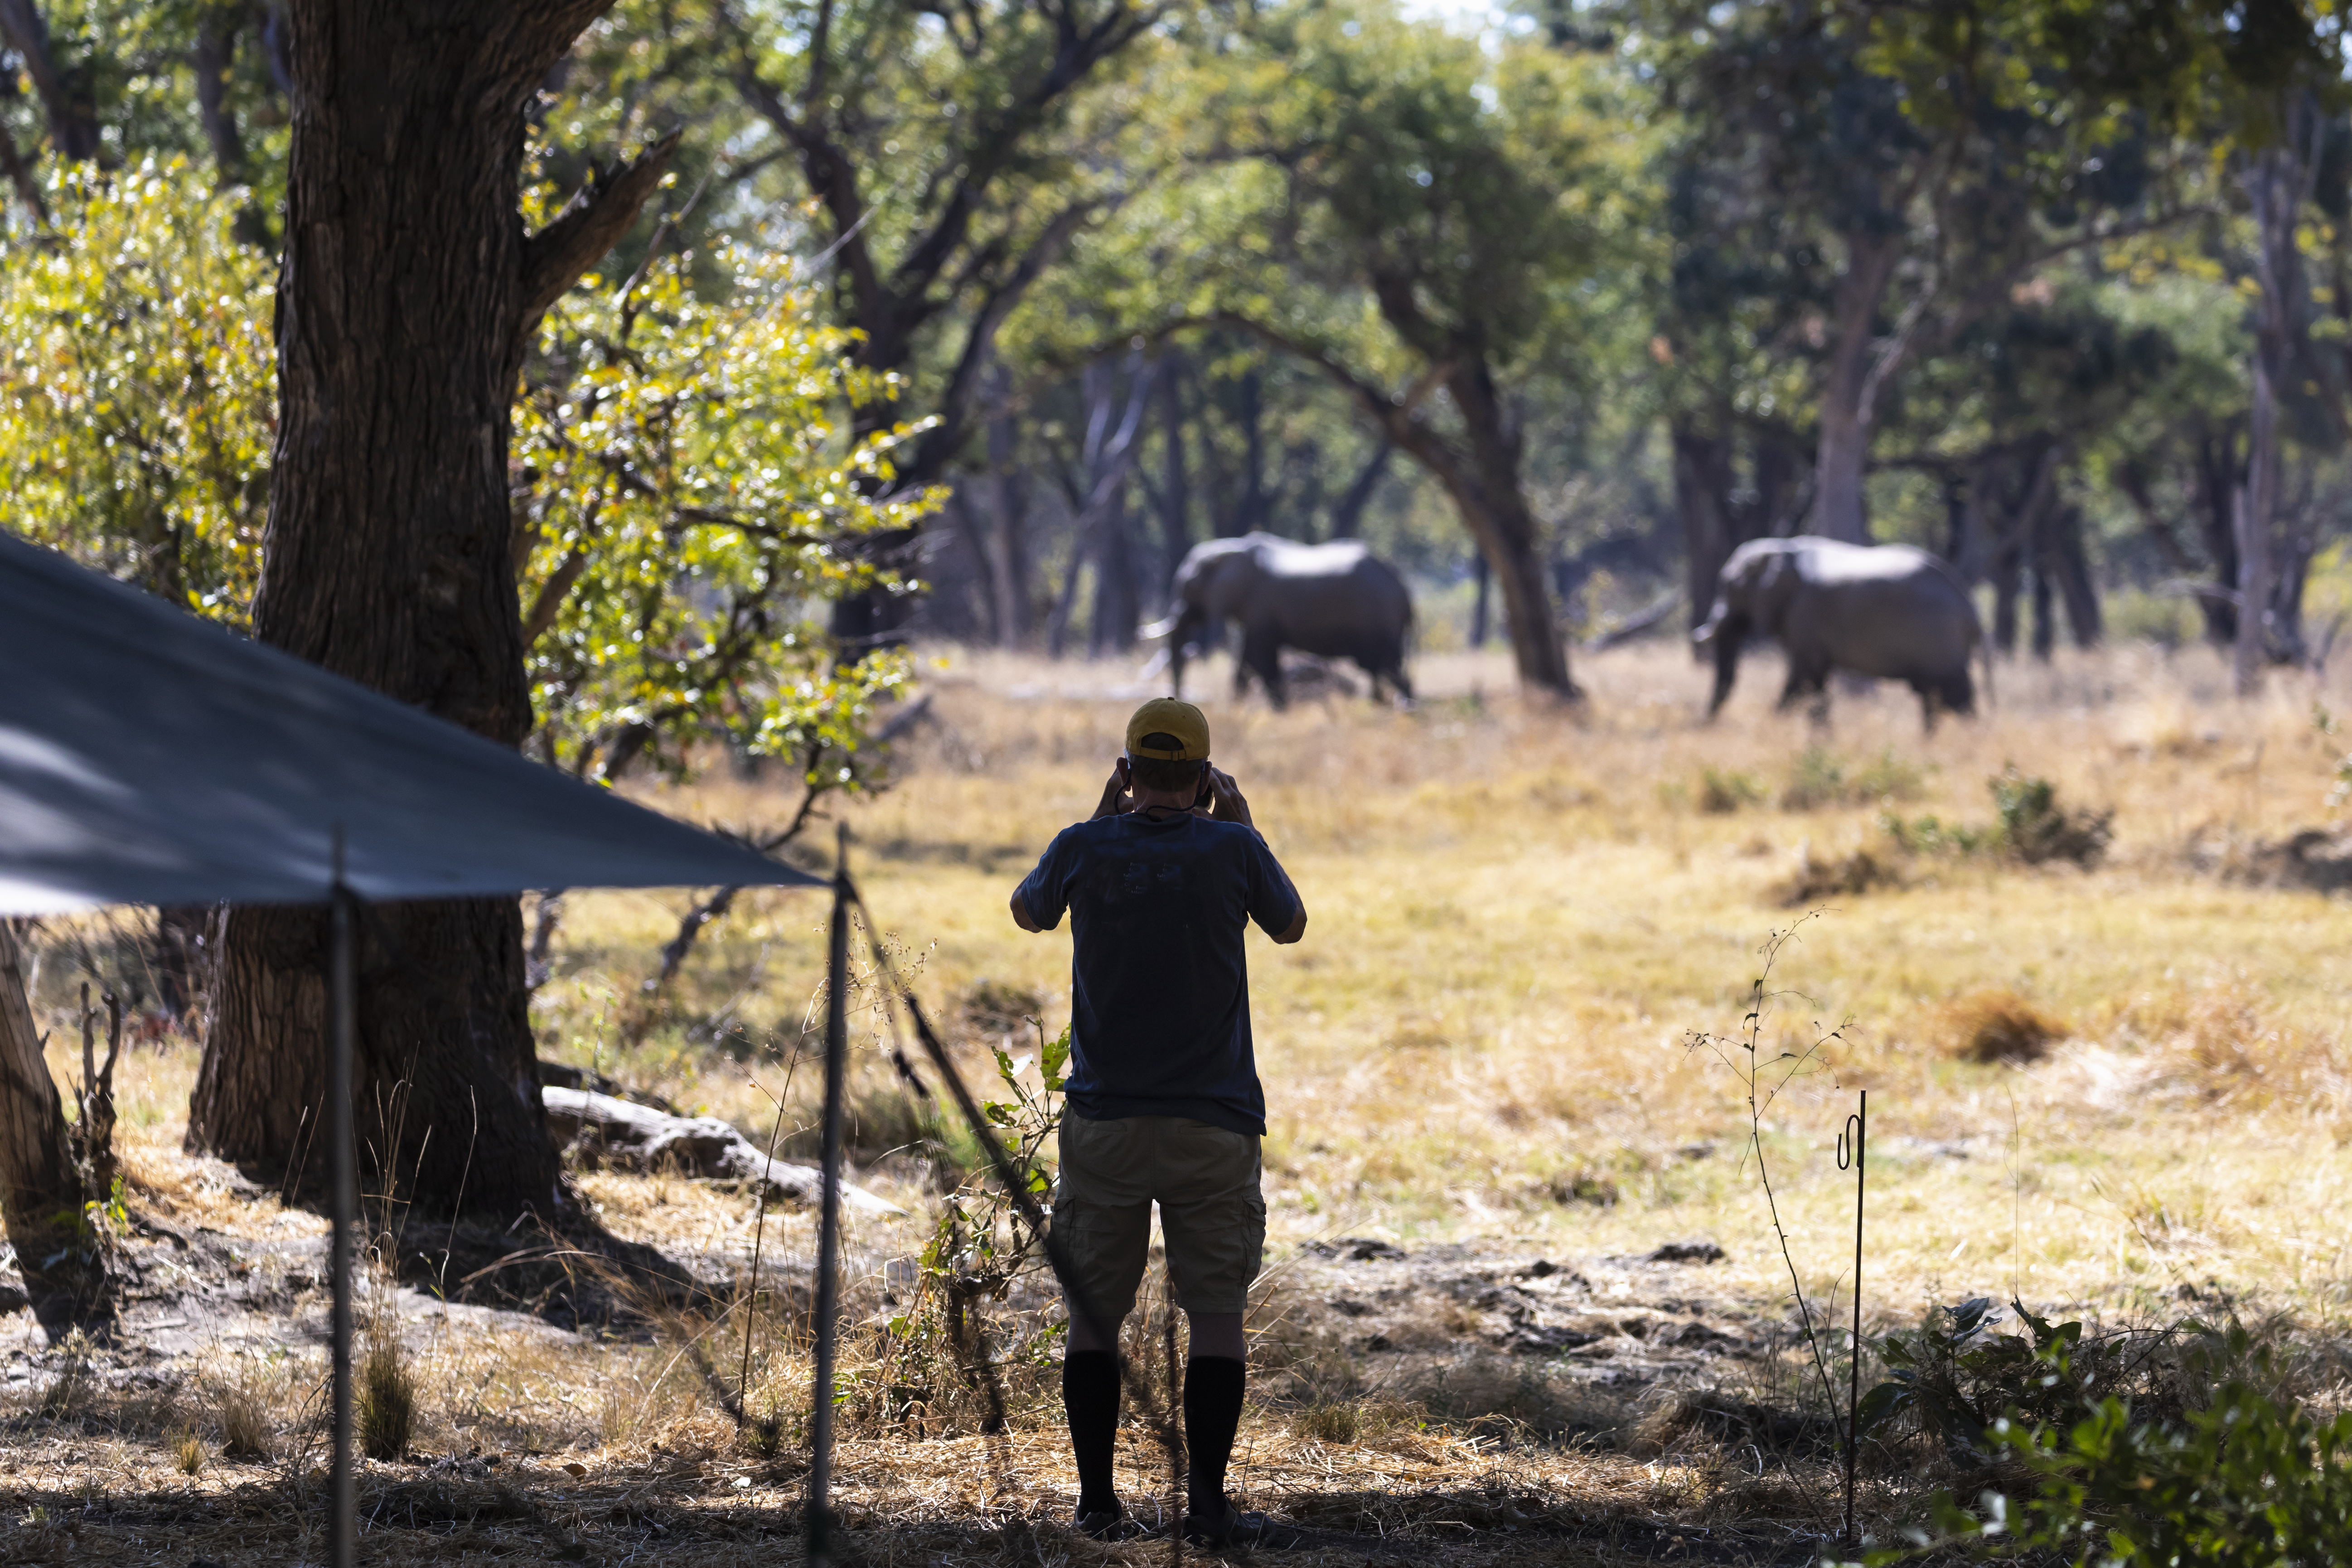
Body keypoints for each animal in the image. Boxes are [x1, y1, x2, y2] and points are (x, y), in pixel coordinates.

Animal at [1142, 533, 1414, 708]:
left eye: (1191, 586)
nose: (1175, 701)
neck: (1232, 549)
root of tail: (1402, 587)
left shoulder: (1259, 605)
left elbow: (1261, 658)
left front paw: (1278, 709)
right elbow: (1246, 660)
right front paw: (1238, 707)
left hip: (1378, 617)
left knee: (1387, 665)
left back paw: (1402, 707)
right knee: (1381, 668)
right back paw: (1381, 704)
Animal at [1693, 536, 1990, 729]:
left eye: (1730, 587)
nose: (1705, 726)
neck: (1783, 547)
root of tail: (1969, 604)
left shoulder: (1804, 614)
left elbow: (1803, 679)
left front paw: (1777, 729)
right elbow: (1813, 682)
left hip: (1939, 641)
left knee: (1955, 697)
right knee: (1935, 699)